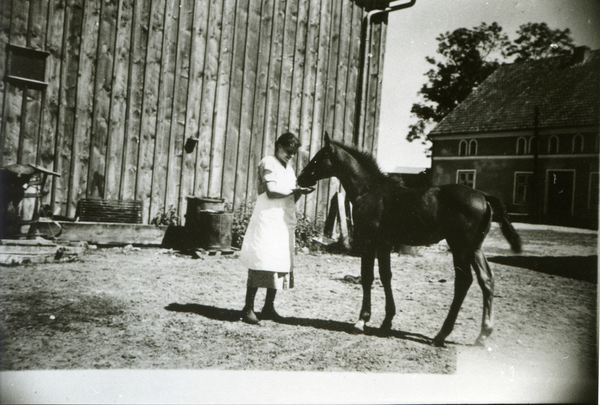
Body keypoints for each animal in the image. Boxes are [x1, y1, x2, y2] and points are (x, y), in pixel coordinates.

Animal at [298, 133, 524, 348]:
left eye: (319, 158)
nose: (301, 179)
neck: (370, 190)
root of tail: (484, 196)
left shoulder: (370, 241)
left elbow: (368, 277)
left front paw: (362, 321)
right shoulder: (384, 243)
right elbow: (386, 276)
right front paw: (386, 322)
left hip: (459, 246)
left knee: (463, 281)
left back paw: (441, 335)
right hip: (474, 248)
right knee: (486, 280)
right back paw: (483, 335)